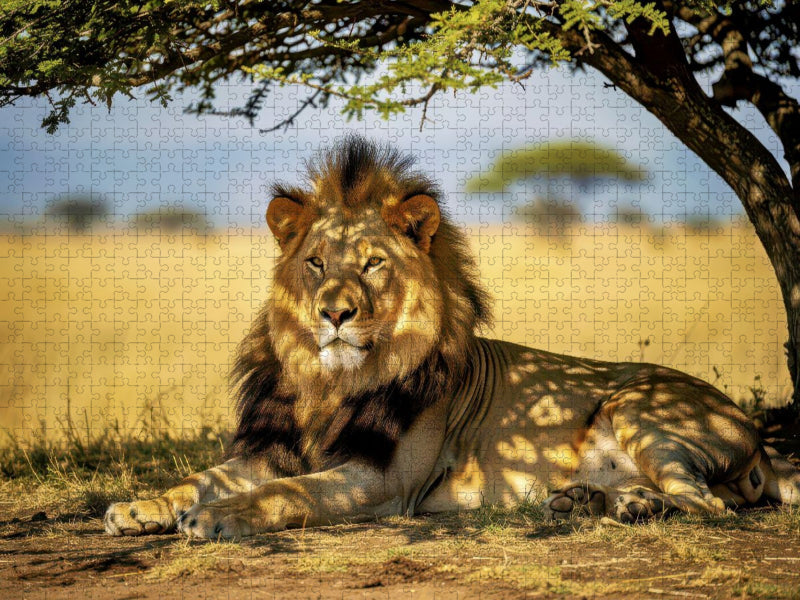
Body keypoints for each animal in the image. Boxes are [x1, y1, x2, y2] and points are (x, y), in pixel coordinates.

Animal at [105, 136, 800, 539]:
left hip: (641, 409)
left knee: (711, 506)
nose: (334, 313)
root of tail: (757, 437)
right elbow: (202, 476)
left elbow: (287, 492)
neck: (329, 381)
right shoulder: (272, 449)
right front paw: (139, 507)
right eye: (316, 263)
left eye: (372, 265)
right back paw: (590, 502)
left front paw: (217, 518)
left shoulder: (384, 479)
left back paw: (627, 509)